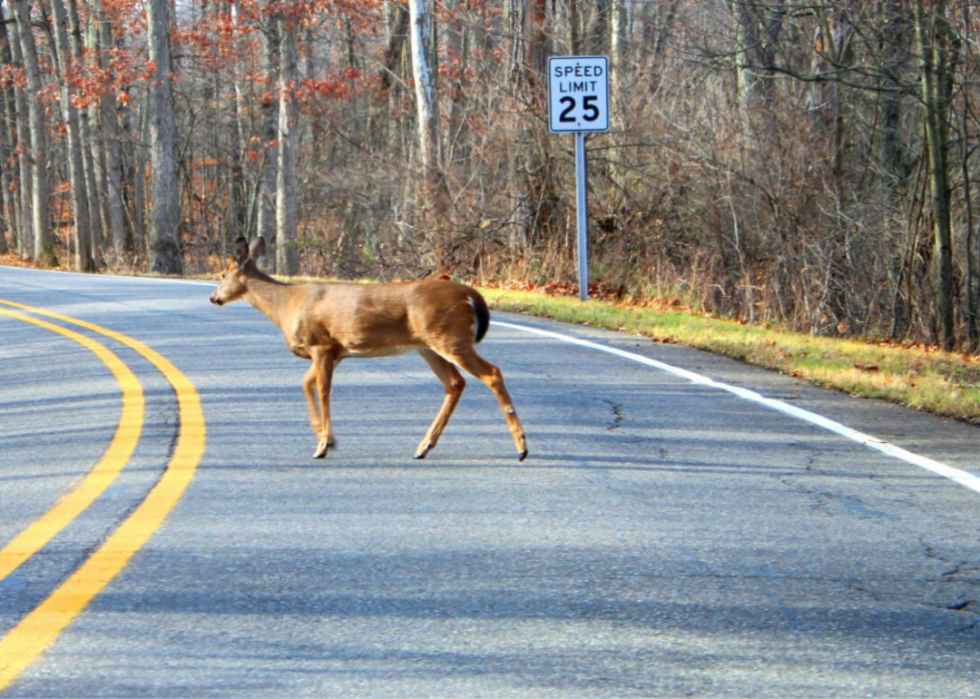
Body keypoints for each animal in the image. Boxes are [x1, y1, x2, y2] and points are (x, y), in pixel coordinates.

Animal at [208, 238, 528, 462]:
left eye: (223, 274)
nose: (213, 298)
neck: (285, 305)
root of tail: (471, 295)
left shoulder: (320, 344)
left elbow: (323, 391)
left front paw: (322, 445)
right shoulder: (334, 351)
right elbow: (306, 384)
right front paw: (327, 438)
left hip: (451, 338)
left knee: (491, 373)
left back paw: (522, 448)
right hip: (429, 346)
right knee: (455, 383)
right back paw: (423, 446)